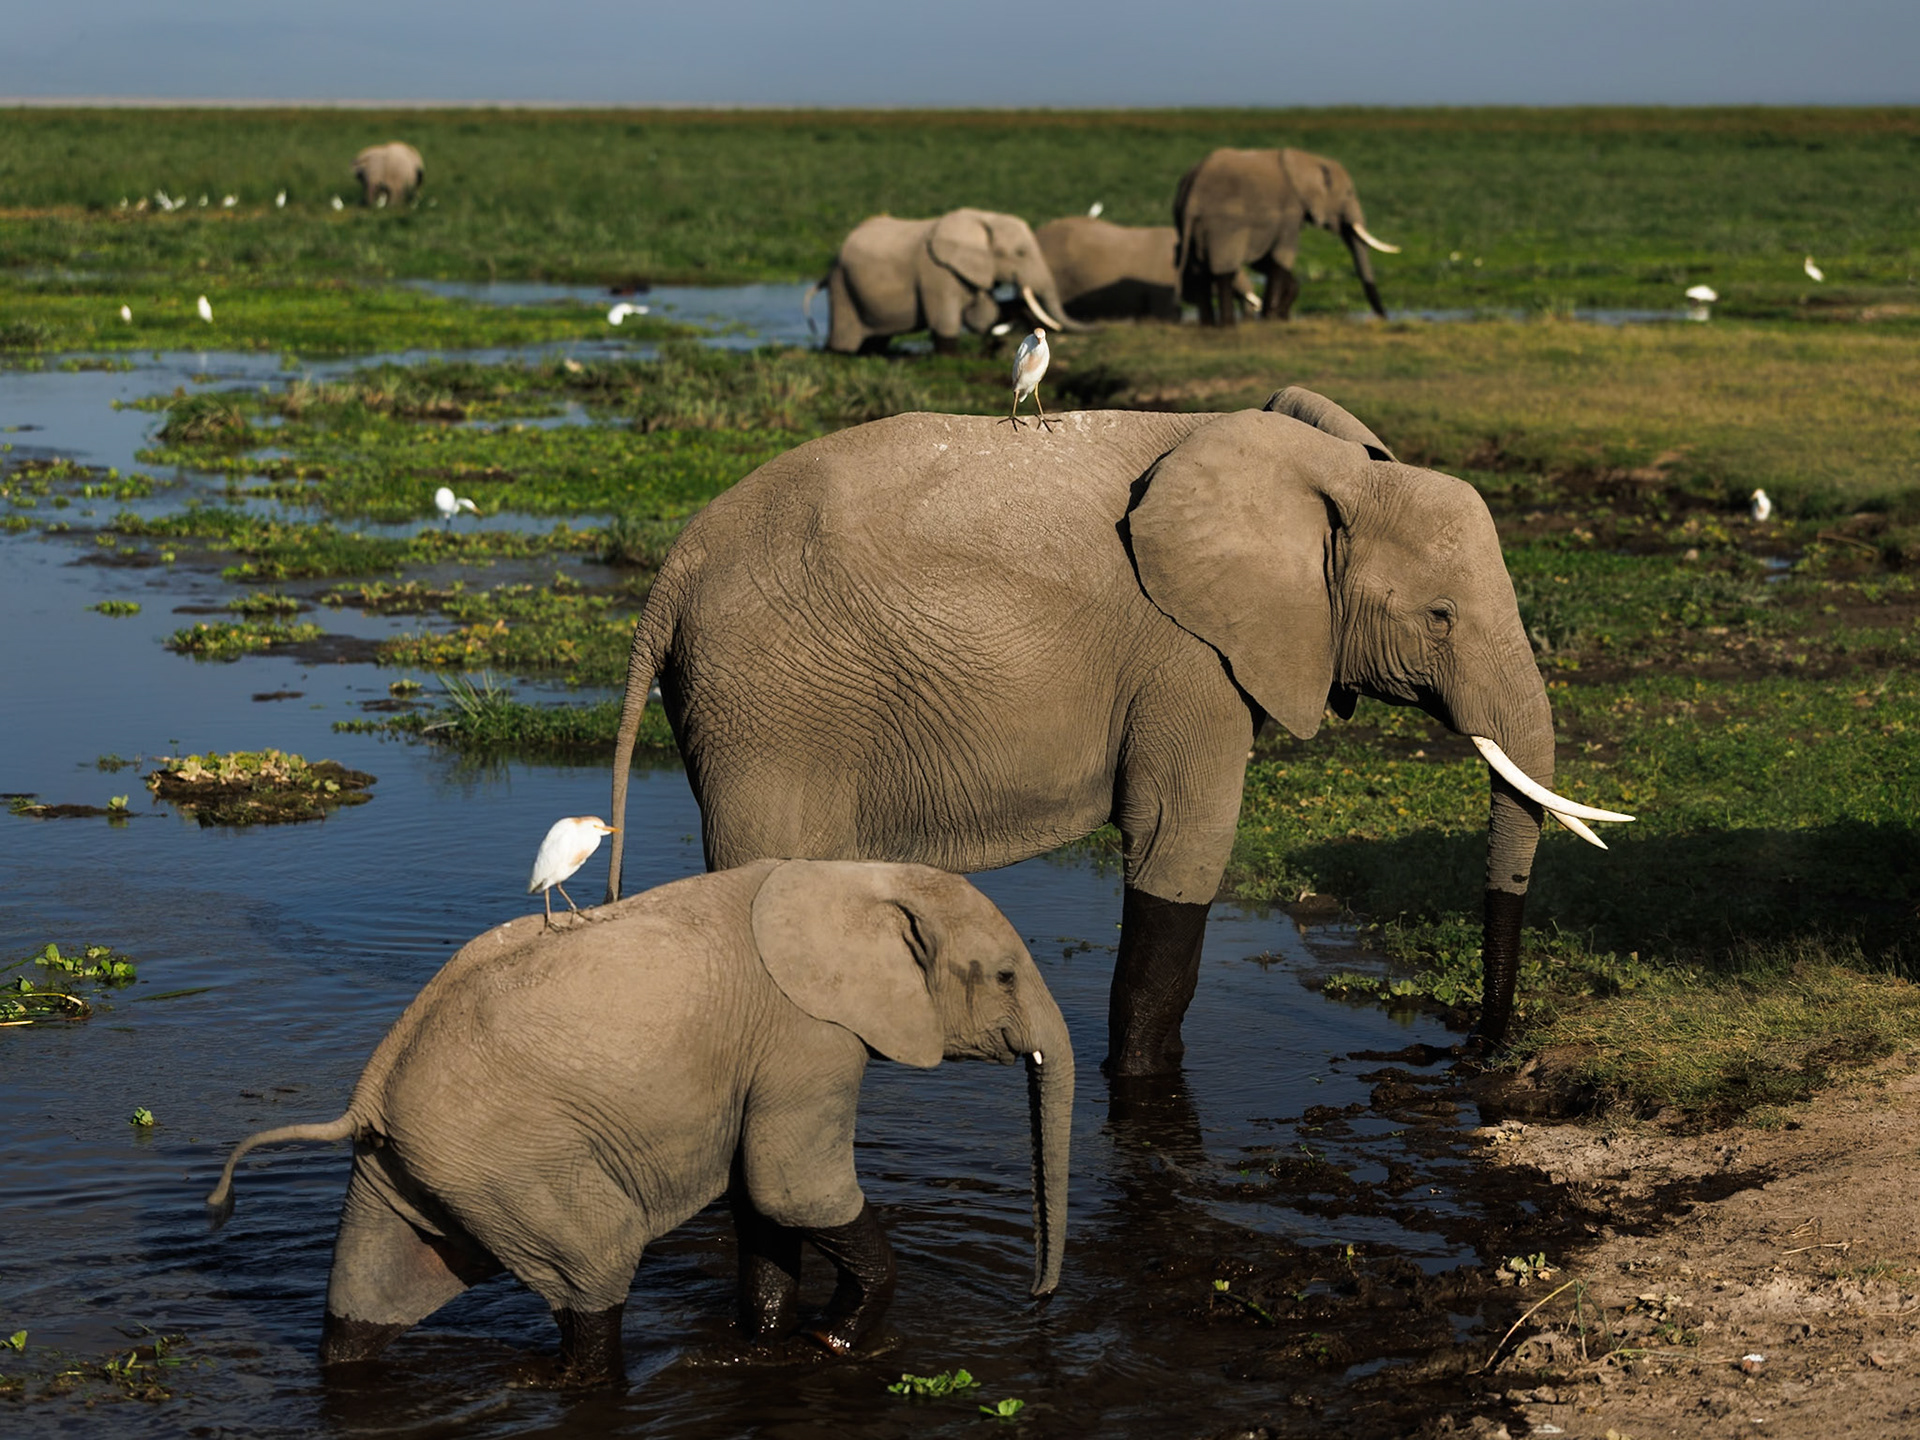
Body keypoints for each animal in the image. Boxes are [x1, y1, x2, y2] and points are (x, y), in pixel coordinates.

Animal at [204, 859, 1074, 1387]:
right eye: (1004, 976)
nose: (1037, 1298)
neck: (857, 875)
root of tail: (369, 1093)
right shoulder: (807, 1039)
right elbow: (793, 1190)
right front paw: (832, 1344)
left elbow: (762, 1203)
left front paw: (768, 1340)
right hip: (508, 1161)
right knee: (597, 1262)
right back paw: (579, 1379)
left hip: (413, 1165)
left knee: (370, 1289)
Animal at [606, 388, 1631, 1077]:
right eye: (1440, 618)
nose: (1482, 1051)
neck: (1318, 469)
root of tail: (674, 571)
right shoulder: (1188, 656)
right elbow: (1182, 842)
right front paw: (1136, 1086)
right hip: (772, 710)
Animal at [806, 208, 1091, 354]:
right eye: (1020, 253)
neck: (985, 218)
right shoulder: (935, 272)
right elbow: (946, 324)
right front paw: (948, 354)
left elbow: (983, 317)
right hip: (842, 286)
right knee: (844, 340)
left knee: (876, 340)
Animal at [1174, 148, 1399, 325]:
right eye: (1349, 193)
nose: (1383, 317)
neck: (1309, 160)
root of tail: (1191, 194)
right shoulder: (1290, 211)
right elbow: (1282, 256)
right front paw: (1270, 316)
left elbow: (1264, 260)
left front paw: (1279, 313)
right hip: (1223, 225)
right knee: (1223, 272)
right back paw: (1227, 323)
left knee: (1200, 272)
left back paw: (1209, 323)